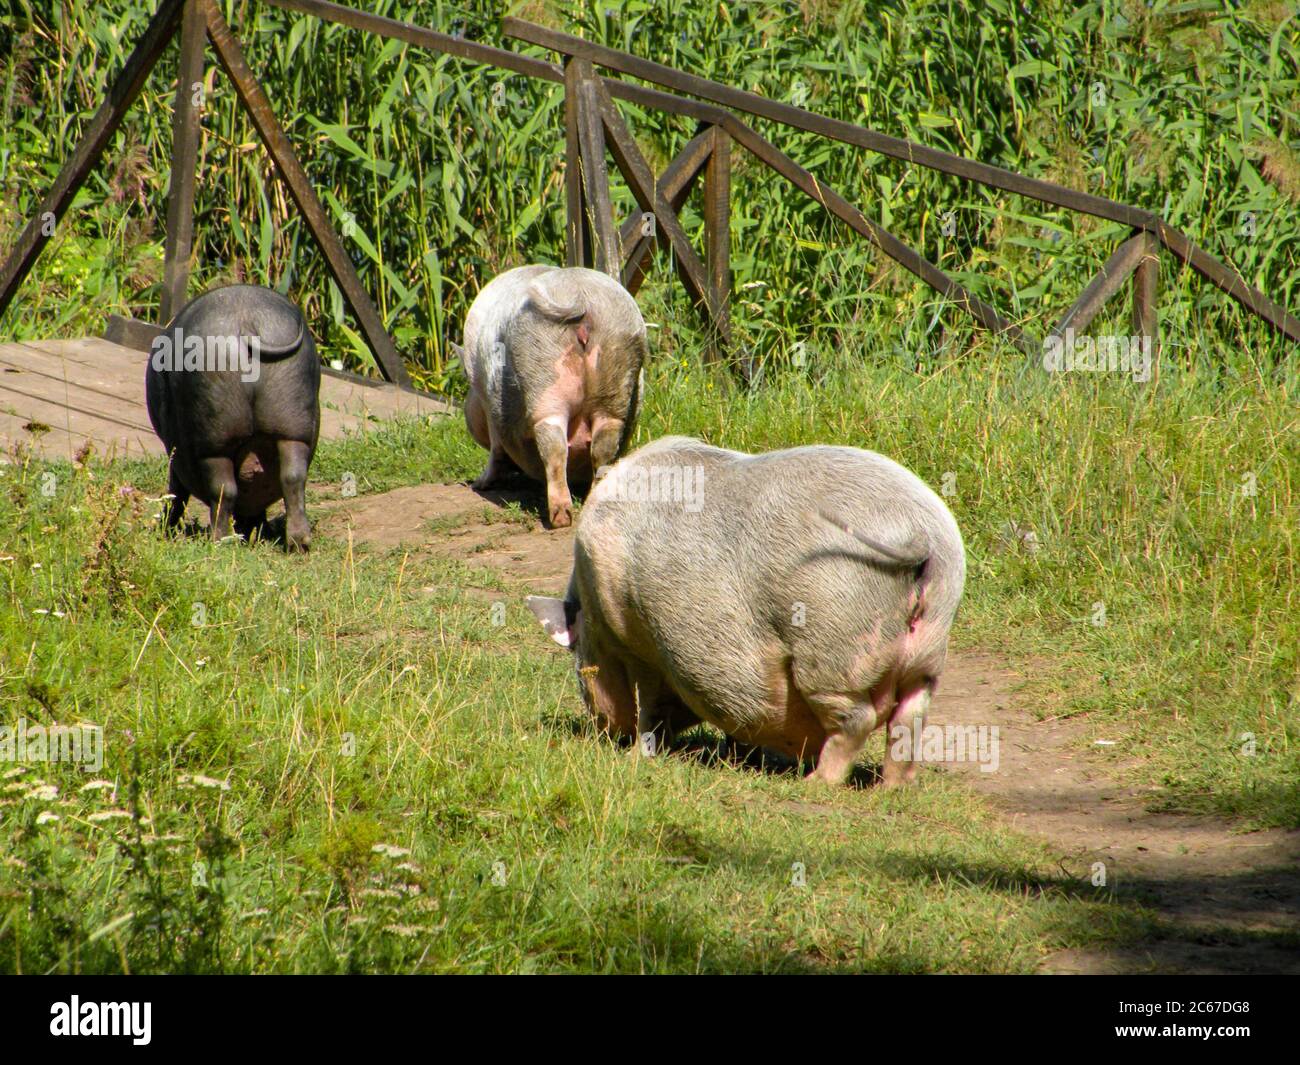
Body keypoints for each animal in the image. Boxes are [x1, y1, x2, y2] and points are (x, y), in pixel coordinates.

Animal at [144, 283, 319, 548]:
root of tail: (248, 322)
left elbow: (177, 493)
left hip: (214, 442)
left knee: (223, 489)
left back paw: (220, 541)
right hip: (293, 429)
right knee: (293, 477)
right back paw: (299, 542)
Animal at [462, 265, 655, 527]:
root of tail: (580, 294)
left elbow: (495, 450)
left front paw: (479, 484)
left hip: (542, 373)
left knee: (554, 447)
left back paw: (560, 518)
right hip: (617, 372)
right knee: (603, 445)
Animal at [525, 434, 967, 785]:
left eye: (577, 656)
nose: (604, 731)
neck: (593, 610)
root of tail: (920, 534)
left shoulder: (640, 643)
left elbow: (651, 707)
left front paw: (638, 755)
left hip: (833, 641)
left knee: (856, 720)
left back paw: (816, 782)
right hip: (928, 650)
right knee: (909, 721)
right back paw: (891, 788)